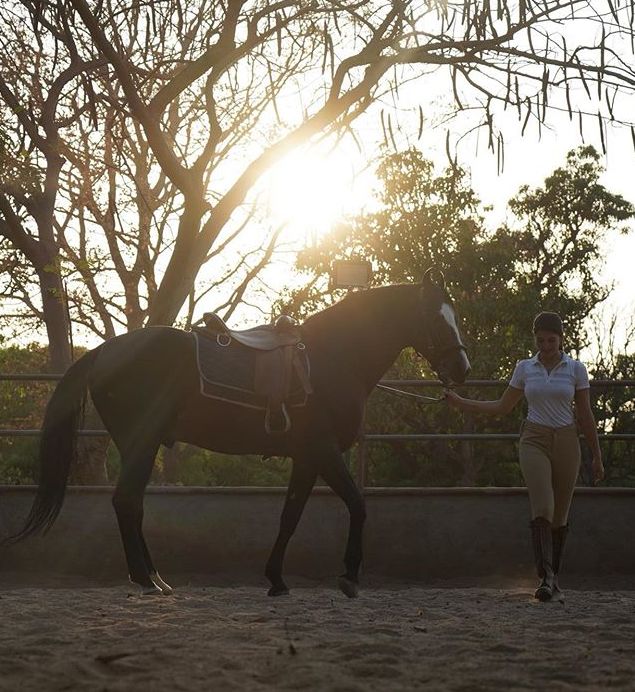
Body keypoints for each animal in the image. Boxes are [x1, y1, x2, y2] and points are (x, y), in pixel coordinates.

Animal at [4, 268, 470, 596]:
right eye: (435, 317)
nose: (462, 369)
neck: (332, 358)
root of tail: (104, 352)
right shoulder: (324, 452)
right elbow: (358, 505)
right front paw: (350, 575)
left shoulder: (306, 458)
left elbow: (290, 517)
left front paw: (276, 579)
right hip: (141, 443)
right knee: (127, 502)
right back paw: (146, 580)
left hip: (141, 444)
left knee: (131, 503)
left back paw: (155, 577)